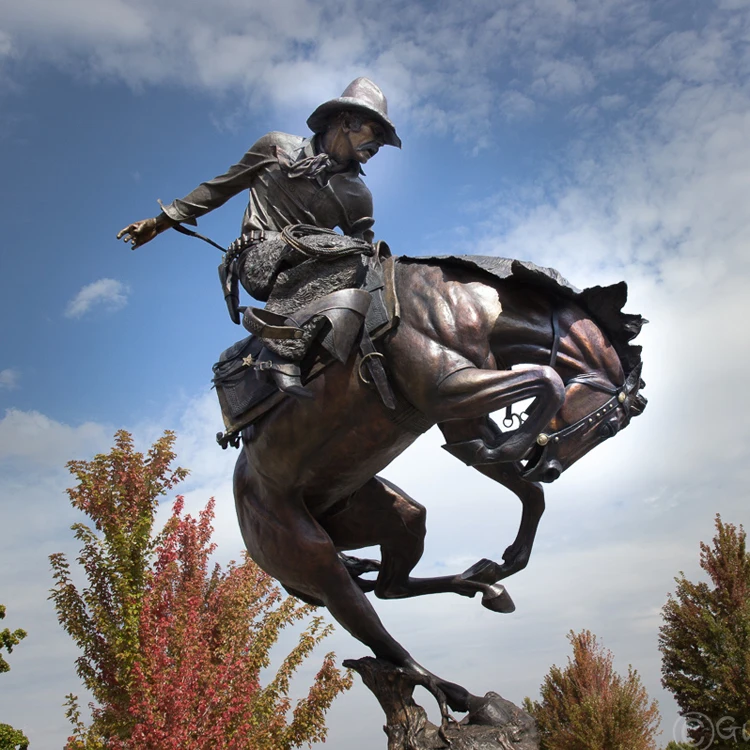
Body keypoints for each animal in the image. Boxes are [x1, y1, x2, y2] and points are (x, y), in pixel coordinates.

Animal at [229, 256, 648, 724]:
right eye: (610, 427)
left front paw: (509, 559)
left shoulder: (460, 414)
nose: (552, 469)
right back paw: (453, 691)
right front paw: (509, 444)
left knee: (392, 586)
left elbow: (524, 486)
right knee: (381, 635)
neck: (472, 307)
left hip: (389, 516)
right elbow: (547, 382)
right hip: (315, 560)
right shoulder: (449, 390)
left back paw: (480, 584)